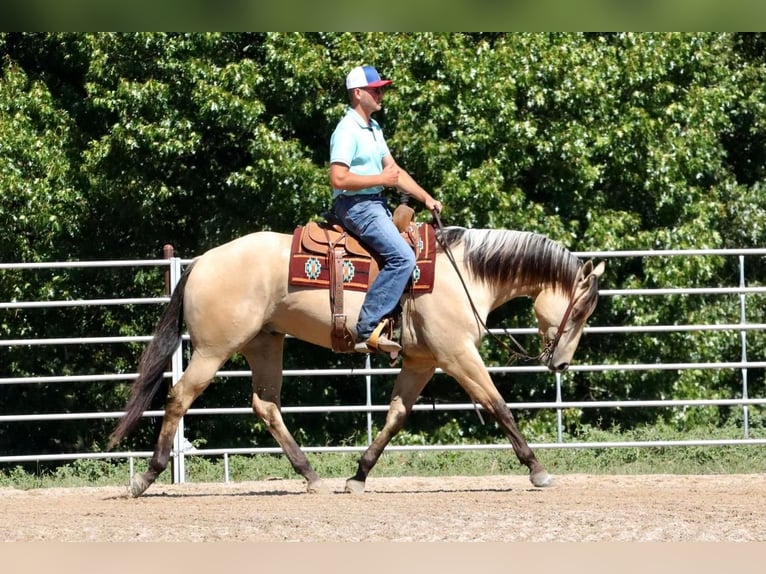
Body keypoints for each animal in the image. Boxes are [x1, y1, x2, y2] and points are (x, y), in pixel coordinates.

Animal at [108, 218, 608, 498]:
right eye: (582, 309)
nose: (561, 363)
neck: (465, 272)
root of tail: (200, 262)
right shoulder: (457, 355)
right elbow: (498, 406)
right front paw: (538, 471)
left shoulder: (421, 362)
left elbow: (395, 417)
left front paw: (359, 475)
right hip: (214, 349)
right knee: (179, 396)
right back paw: (146, 477)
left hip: (265, 343)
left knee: (266, 405)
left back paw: (311, 475)